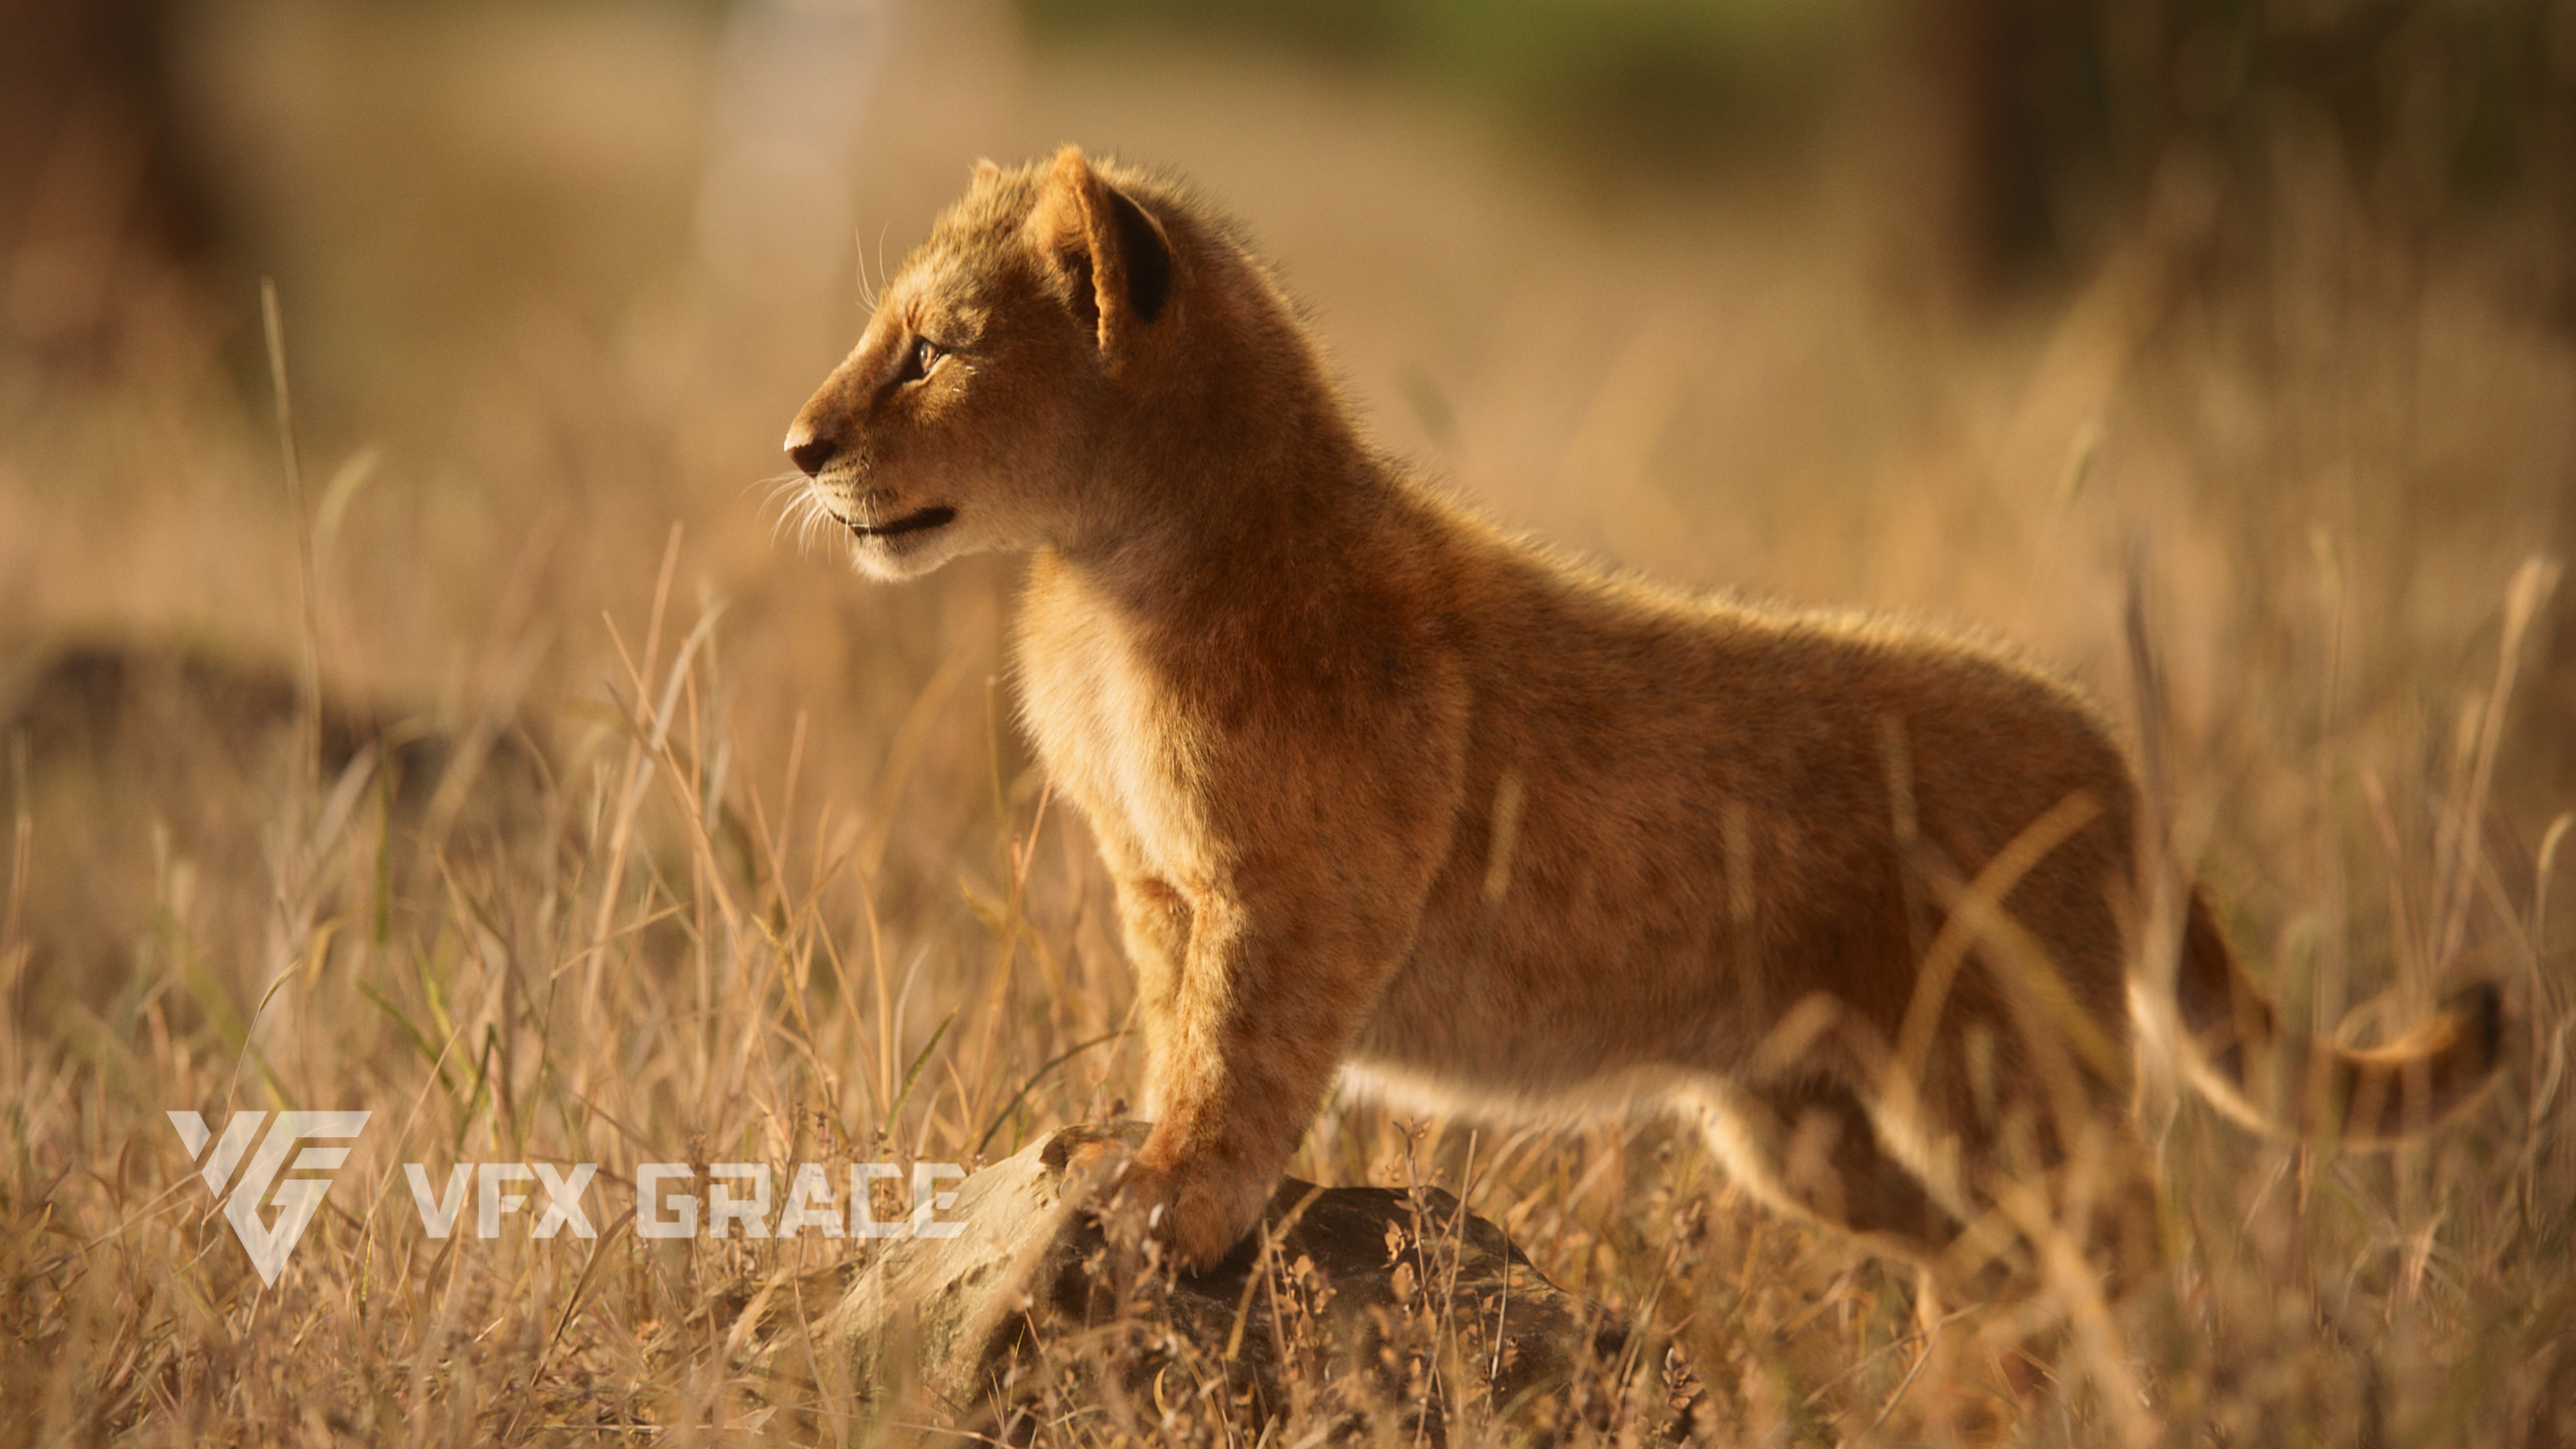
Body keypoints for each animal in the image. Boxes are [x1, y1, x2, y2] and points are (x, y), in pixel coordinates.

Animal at [780, 147, 2502, 1290]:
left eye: (932, 347)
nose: (799, 447)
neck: (1106, 576)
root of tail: (2114, 750)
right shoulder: (1159, 891)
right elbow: (1170, 1033)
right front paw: (1123, 1155)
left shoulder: (1293, 897)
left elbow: (1238, 1059)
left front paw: (1175, 1206)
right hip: (1803, 1127)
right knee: (1985, 1262)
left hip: (2008, 1072)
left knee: (2122, 1247)